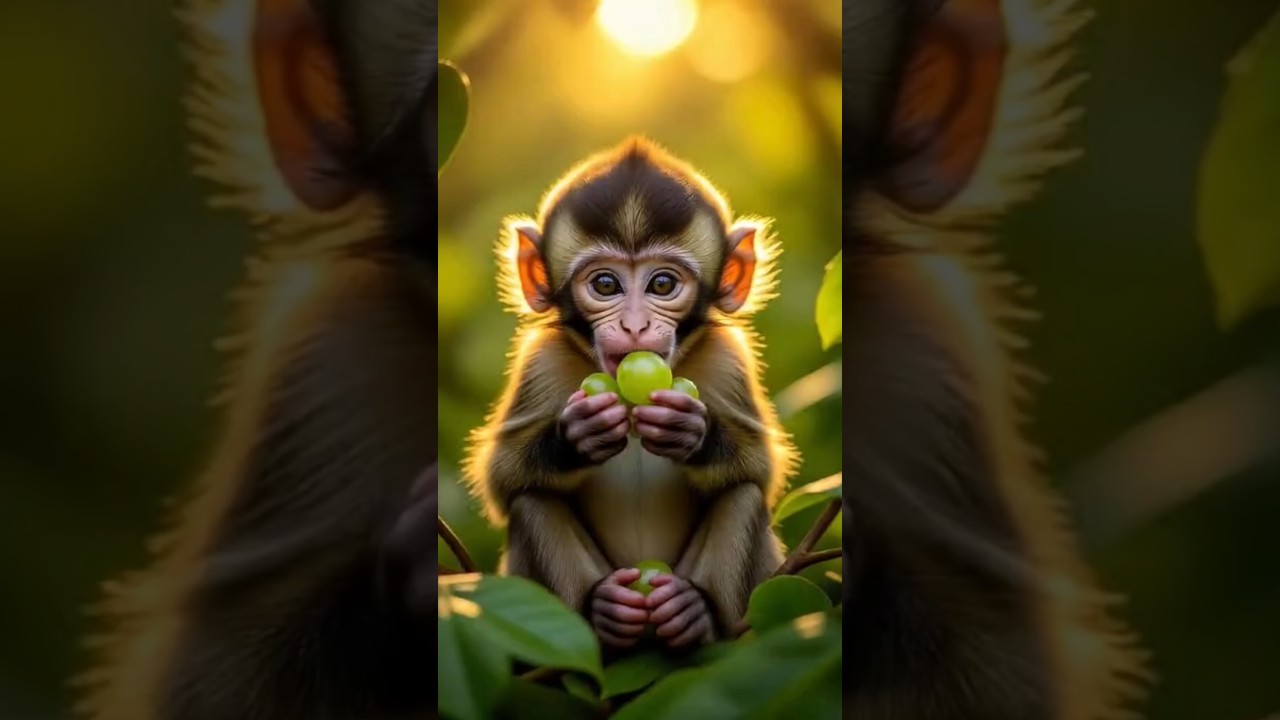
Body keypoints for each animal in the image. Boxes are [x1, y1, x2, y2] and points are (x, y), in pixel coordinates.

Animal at [462, 137, 799, 650]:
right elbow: (501, 478)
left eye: (662, 283)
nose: (635, 325)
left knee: (741, 496)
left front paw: (692, 433)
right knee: (532, 501)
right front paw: (575, 437)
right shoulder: (540, 363)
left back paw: (694, 614)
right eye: (606, 284)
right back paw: (602, 614)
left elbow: (762, 469)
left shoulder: (728, 360)